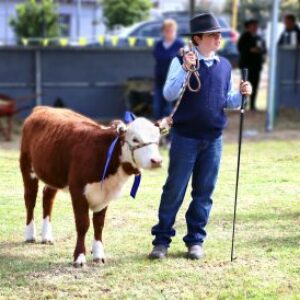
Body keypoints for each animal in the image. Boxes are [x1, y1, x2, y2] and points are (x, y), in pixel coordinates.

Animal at [19, 106, 163, 266]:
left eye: (157, 140)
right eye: (135, 139)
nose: (157, 161)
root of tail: (42, 108)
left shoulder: (104, 194)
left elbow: (99, 224)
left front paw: (99, 254)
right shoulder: (78, 190)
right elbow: (83, 224)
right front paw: (79, 257)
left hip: (53, 174)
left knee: (47, 198)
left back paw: (46, 236)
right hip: (27, 168)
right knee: (30, 200)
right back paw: (30, 235)